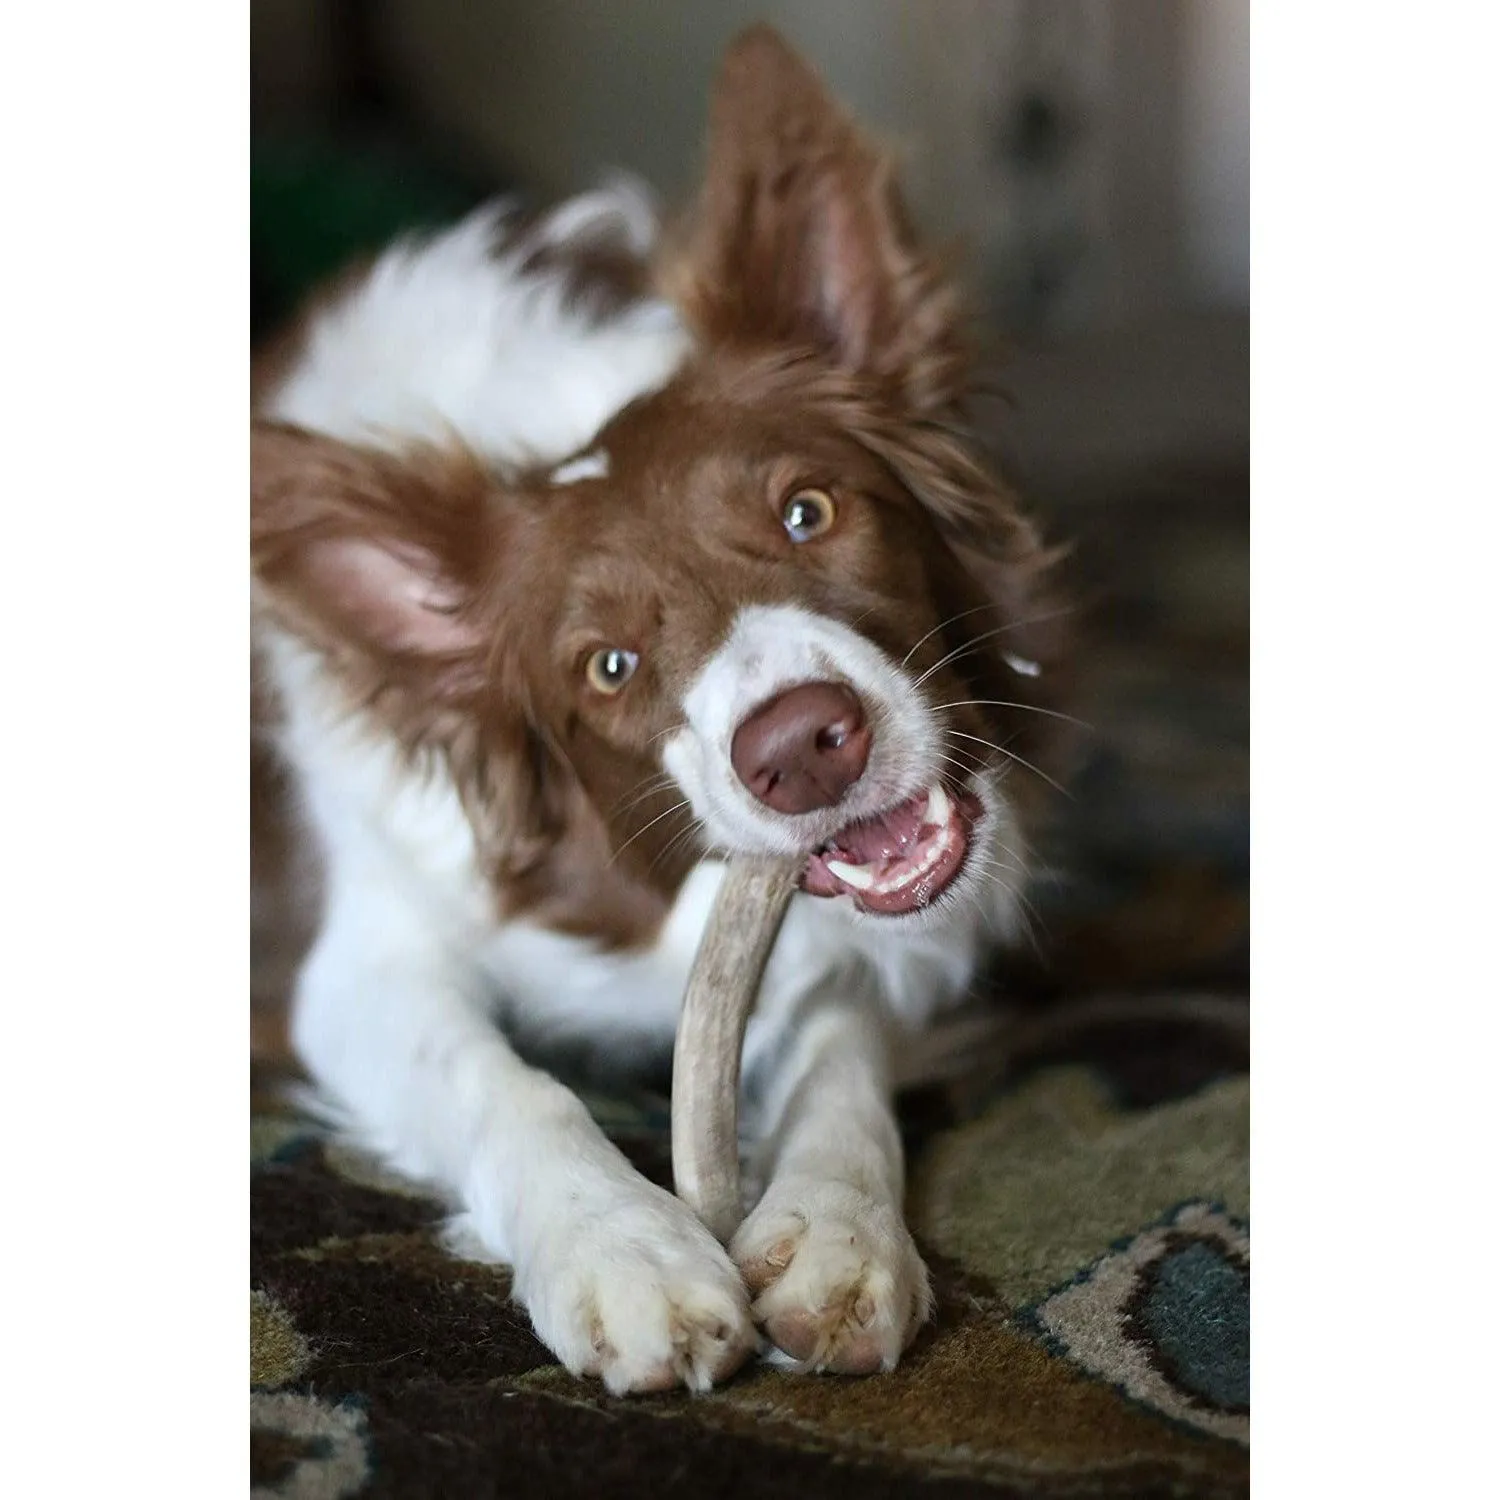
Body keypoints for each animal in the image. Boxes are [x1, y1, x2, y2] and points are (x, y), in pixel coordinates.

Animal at [252, 26, 1068, 1392]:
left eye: (808, 511)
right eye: (609, 668)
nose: (801, 751)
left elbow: (843, 1046)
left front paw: (841, 1232)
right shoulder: (363, 959)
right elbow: (501, 1080)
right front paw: (621, 1250)